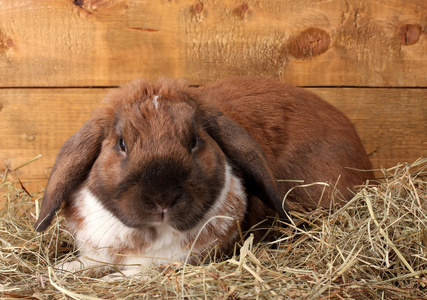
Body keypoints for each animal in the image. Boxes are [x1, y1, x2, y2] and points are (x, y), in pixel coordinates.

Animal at [33, 76, 374, 278]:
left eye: (194, 141)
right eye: (121, 144)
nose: (163, 199)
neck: (147, 235)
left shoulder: (163, 263)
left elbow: (127, 276)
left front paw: (112, 280)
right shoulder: (97, 251)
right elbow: (84, 265)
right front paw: (60, 269)